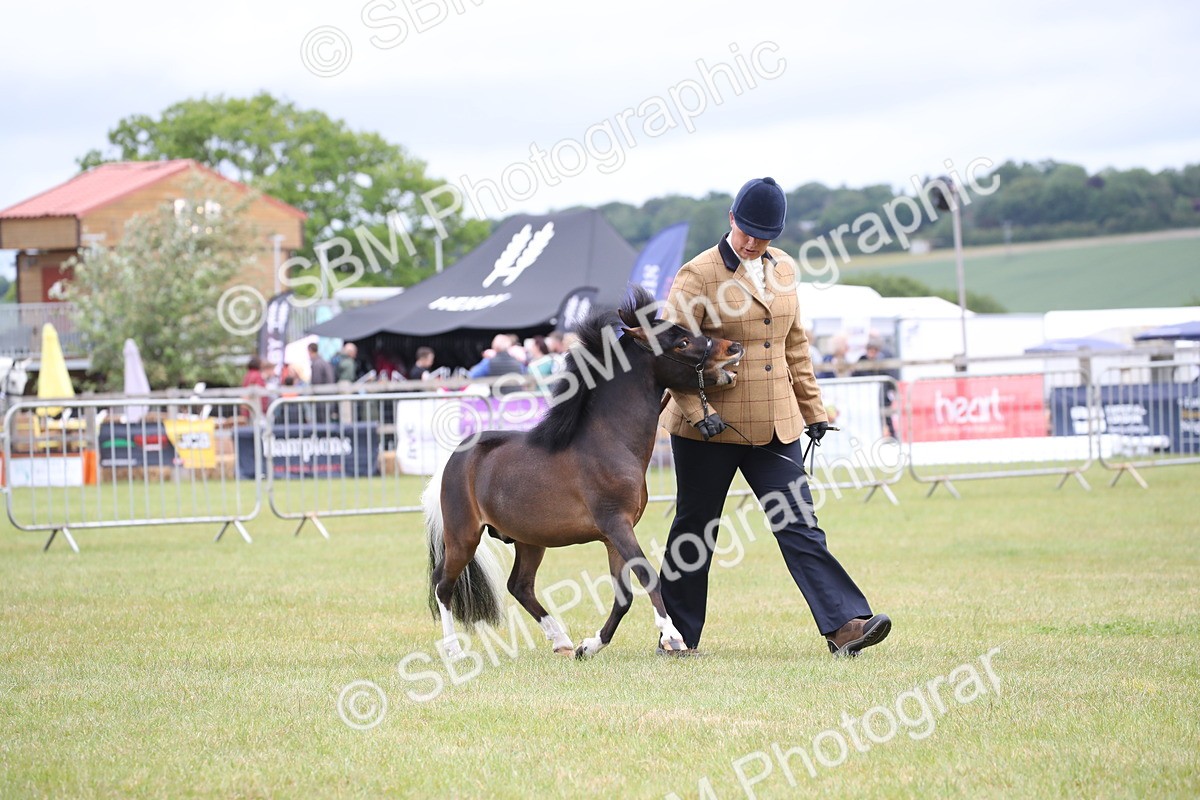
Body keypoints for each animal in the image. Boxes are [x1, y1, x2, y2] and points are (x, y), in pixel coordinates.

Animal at [424, 286, 743, 659]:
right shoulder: (616, 525)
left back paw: (561, 640)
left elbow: (624, 596)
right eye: (680, 343)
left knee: (520, 585)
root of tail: (455, 458)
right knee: (443, 584)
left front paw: (589, 646)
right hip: (463, 536)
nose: (734, 348)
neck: (610, 442)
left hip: (530, 540)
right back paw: (454, 650)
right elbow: (648, 576)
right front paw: (672, 636)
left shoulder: (614, 535)